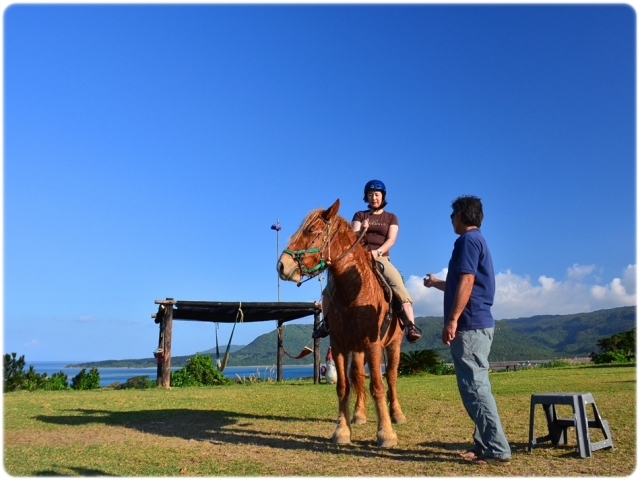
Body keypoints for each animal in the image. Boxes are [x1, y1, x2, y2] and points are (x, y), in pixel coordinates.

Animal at [276, 199, 404, 446]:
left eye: (310, 230)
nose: (281, 266)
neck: (352, 292)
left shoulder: (373, 345)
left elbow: (378, 386)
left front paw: (386, 433)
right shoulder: (339, 346)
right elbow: (343, 387)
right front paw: (342, 430)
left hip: (393, 345)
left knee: (392, 378)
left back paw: (397, 414)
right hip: (358, 350)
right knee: (358, 377)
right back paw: (359, 414)